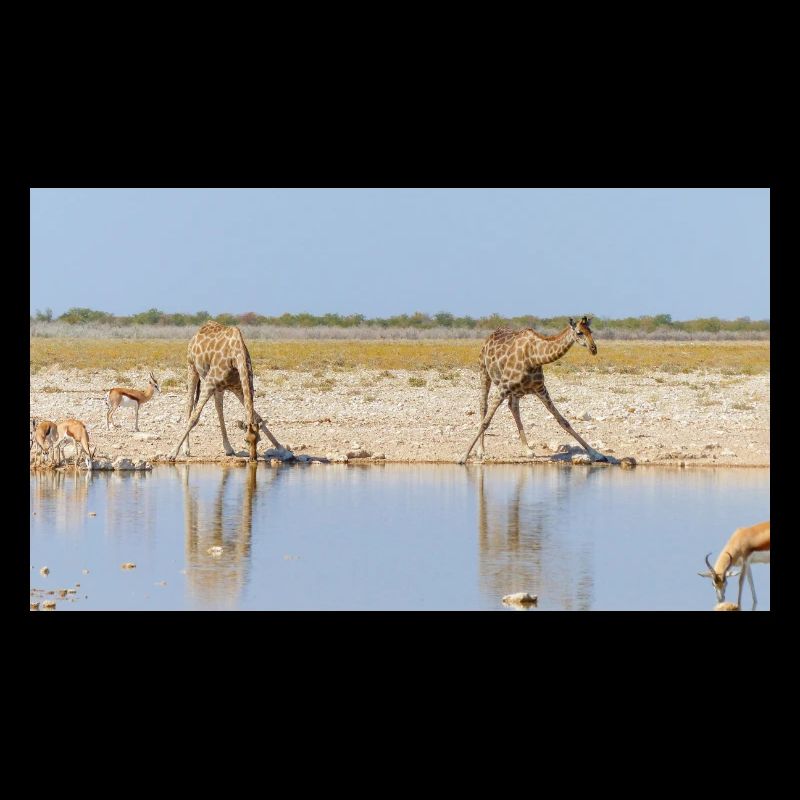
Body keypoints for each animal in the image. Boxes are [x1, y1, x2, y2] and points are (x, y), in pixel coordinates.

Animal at [168, 321, 284, 462]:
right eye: (245, 440)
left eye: (258, 440)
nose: (253, 459)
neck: (236, 356)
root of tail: (197, 332)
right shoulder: (210, 383)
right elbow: (194, 418)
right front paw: (172, 453)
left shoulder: (238, 388)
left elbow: (257, 417)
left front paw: (282, 448)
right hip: (192, 367)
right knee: (189, 405)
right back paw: (186, 449)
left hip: (220, 387)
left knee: (219, 408)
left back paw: (228, 448)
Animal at [458, 316, 609, 464]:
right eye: (579, 332)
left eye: (591, 331)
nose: (593, 349)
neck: (535, 357)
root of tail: (490, 336)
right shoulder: (503, 387)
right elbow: (485, 422)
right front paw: (463, 456)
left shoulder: (541, 389)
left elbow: (563, 421)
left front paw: (597, 454)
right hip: (484, 372)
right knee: (483, 405)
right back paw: (481, 450)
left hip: (516, 391)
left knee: (513, 407)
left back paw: (527, 450)